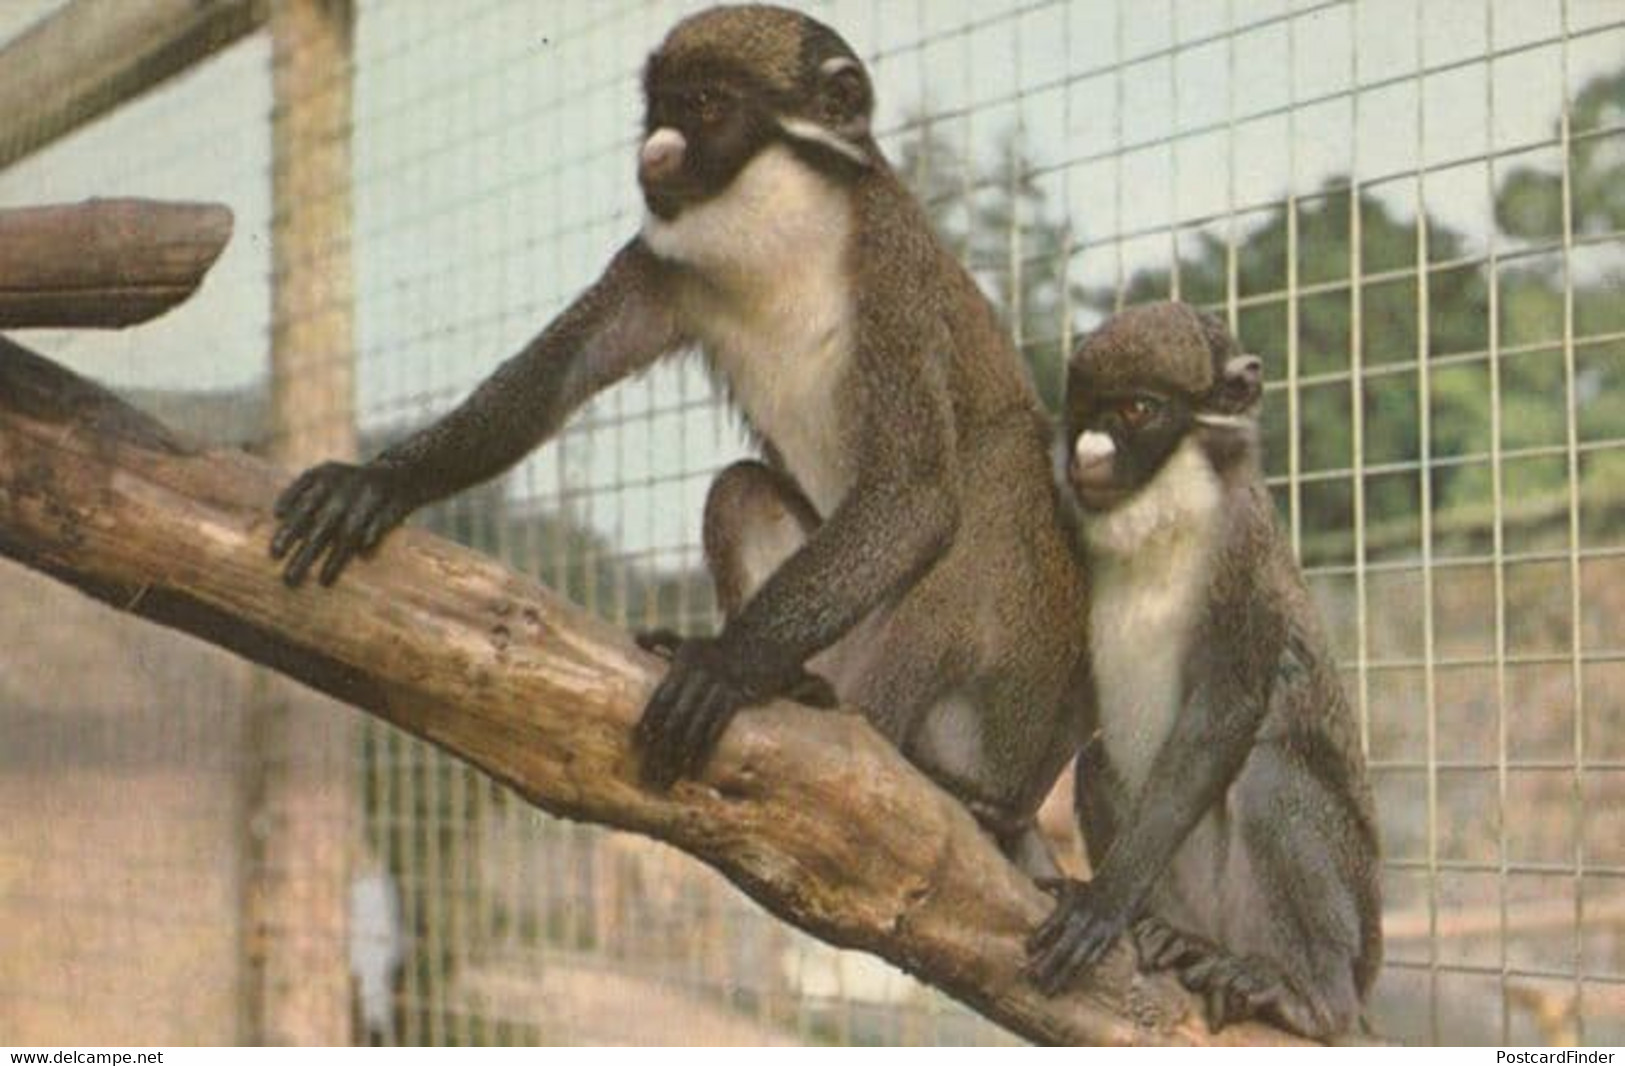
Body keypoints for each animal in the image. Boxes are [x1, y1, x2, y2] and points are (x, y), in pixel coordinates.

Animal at [269, 2, 1092, 877]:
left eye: (705, 106)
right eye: (657, 108)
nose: (653, 153)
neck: (791, 232)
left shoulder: (889, 264)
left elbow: (917, 491)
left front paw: (723, 665)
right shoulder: (660, 262)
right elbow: (547, 384)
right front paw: (380, 483)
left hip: (999, 728)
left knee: (1002, 475)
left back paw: (897, 749)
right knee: (739, 488)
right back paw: (805, 692)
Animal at [1020, 302, 1378, 1040]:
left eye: (1137, 409)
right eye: (1085, 408)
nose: (1087, 453)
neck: (1165, 519)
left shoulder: (1241, 562)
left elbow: (1224, 715)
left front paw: (1105, 900)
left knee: (1269, 773)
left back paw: (1309, 998)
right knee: (1097, 762)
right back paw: (1174, 938)